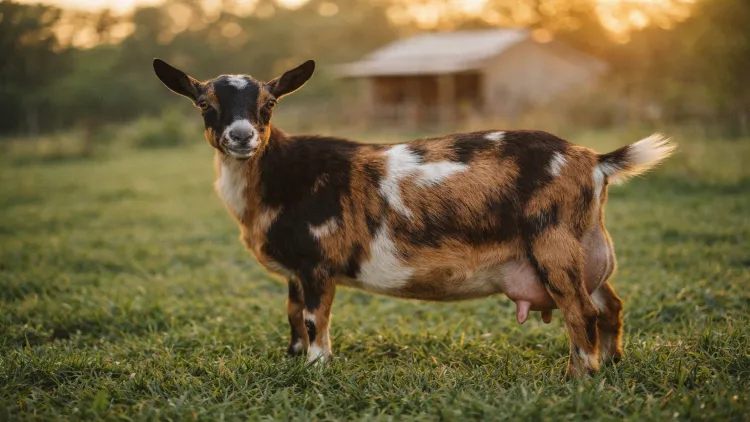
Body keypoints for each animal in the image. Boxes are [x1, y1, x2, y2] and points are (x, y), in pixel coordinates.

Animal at [153, 58, 675, 378]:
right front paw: (293, 363)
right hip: (588, 251)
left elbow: (314, 323)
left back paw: (577, 377)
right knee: (610, 307)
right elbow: (293, 319)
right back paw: (611, 366)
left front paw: (316, 372)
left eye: (269, 104)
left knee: (581, 313)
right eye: (205, 104)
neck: (282, 175)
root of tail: (594, 160)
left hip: (554, 246)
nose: (242, 137)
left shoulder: (318, 265)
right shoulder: (296, 272)